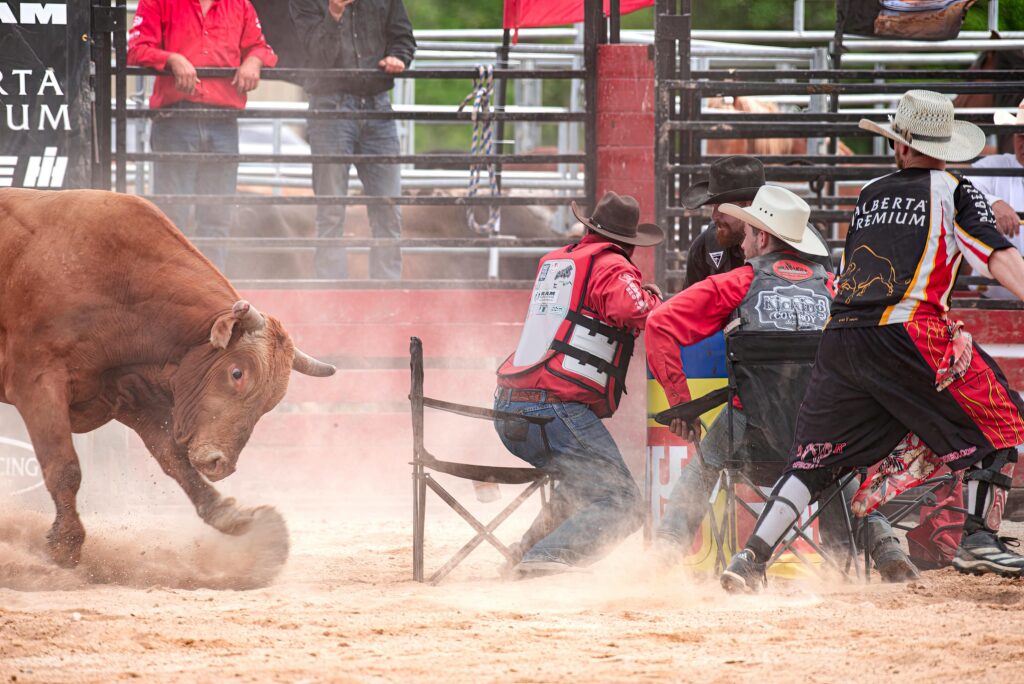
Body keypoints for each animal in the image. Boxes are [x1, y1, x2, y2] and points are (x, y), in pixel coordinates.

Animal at [0, 187, 333, 565]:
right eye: (237, 373)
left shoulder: (128, 394)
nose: (220, 463)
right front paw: (65, 543)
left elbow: (174, 458)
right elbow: (64, 467)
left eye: (271, 403)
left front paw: (230, 515)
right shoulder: (38, 384)